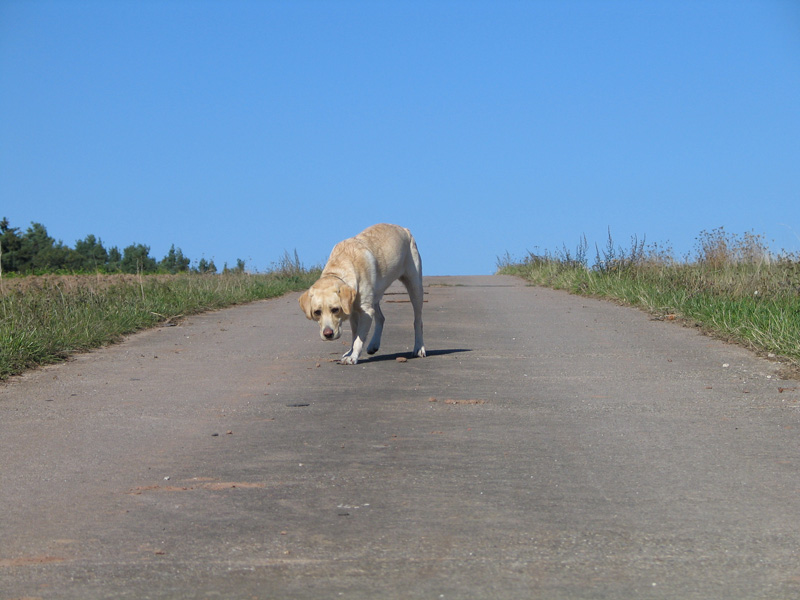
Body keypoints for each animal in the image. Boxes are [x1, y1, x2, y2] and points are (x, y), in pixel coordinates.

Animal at [298, 224, 424, 366]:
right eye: (317, 312)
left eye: (335, 309)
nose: (328, 334)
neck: (340, 268)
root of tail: (404, 229)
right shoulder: (353, 311)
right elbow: (355, 335)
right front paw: (350, 352)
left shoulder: (366, 311)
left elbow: (359, 338)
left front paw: (353, 357)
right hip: (375, 297)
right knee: (381, 318)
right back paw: (373, 344)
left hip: (415, 287)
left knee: (417, 321)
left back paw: (419, 348)